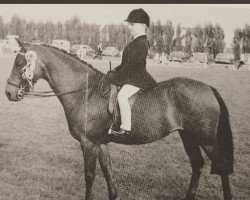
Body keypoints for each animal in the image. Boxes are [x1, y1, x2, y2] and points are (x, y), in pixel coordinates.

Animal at [4, 39, 234, 200]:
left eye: (20, 62)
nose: (8, 93)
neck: (85, 92)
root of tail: (208, 88)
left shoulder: (88, 144)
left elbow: (90, 176)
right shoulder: (101, 143)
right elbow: (108, 173)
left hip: (206, 140)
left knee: (221, 166)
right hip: (188, 136)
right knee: (197, 165)